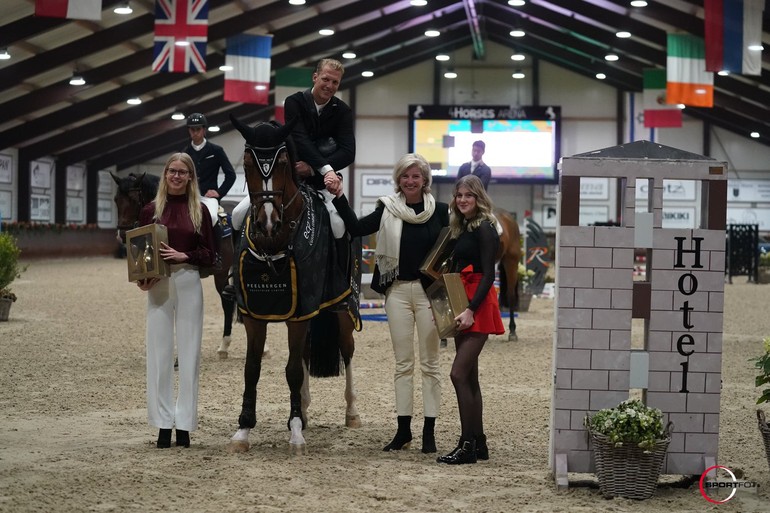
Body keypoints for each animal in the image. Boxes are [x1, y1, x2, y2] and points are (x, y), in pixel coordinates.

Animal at [112, 170, 236, 354]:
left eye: (134, 200)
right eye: (115, 200)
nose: (122, 235)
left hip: (221, 272)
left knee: (228, 302)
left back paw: (228, 346)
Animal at [226, 115, 362, 452]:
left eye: (284, 162)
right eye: (247, 162)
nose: (267, 221)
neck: (275, 243)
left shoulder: (301, 312)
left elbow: (290, 370)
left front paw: (296, 431)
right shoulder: (254, 315)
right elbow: (252, 369)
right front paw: (243, 430)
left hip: (342, 306)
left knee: (347, 350)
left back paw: (351, 412)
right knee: (303, 356)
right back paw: (306, 407)